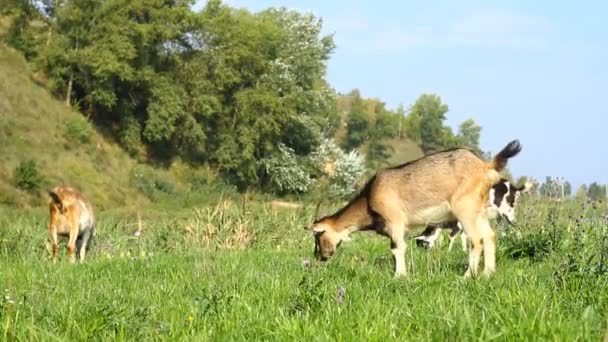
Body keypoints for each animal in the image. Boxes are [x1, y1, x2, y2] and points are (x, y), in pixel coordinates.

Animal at [304, 140, 524, 276]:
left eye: (319, 235)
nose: (320, 256)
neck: (369, 198)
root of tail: (486, 167)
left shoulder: (395, 220)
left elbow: (397, 248)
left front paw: (399, 276)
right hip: (479, 211)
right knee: (489, 237)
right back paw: (488, 273)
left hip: (465, 210)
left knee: (476, 240)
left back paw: (467, 276)